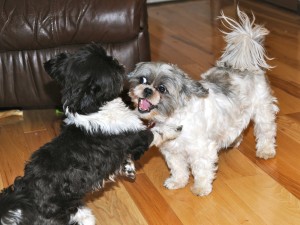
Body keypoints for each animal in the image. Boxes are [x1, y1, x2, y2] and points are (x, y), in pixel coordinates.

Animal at [0, 44, 178, 225]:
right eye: (110, 66)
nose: (117, 60)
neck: (92, 107)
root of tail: (24, 199)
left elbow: (126, 158)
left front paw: (128, 168)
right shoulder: (137, 137)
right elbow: (156, 132)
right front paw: (173, 129)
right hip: (78, 215)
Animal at [127, 8, 278, 195]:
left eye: (162, 89)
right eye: (142, 80)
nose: (147, 90)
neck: (173, 118)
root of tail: (244, 66)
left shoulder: (201, 149)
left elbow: (201, 169)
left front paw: (201, 187)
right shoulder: (173, 151)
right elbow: (178, 168)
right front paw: (177, 182)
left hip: (262, 109)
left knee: (266, 131)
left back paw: (266, 150)